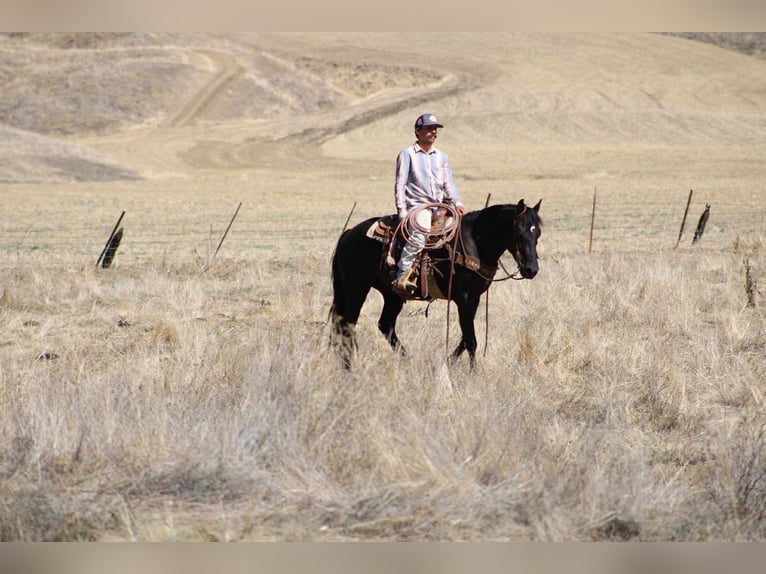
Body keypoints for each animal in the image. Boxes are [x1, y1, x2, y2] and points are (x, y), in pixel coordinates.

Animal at [330, 198, 542, 369]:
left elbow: (466, 337)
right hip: (356, 288)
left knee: (385, 324)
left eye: (537, 233)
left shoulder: (474, 298)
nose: (531, 269)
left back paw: (407, 361)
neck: (475, 243)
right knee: (347, 326)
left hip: (392, 295)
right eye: (519, 232)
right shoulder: (464, 299)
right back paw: (349, 368)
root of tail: (348, 233)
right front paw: (473, 373)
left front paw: (448, 362)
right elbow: (471, 339)